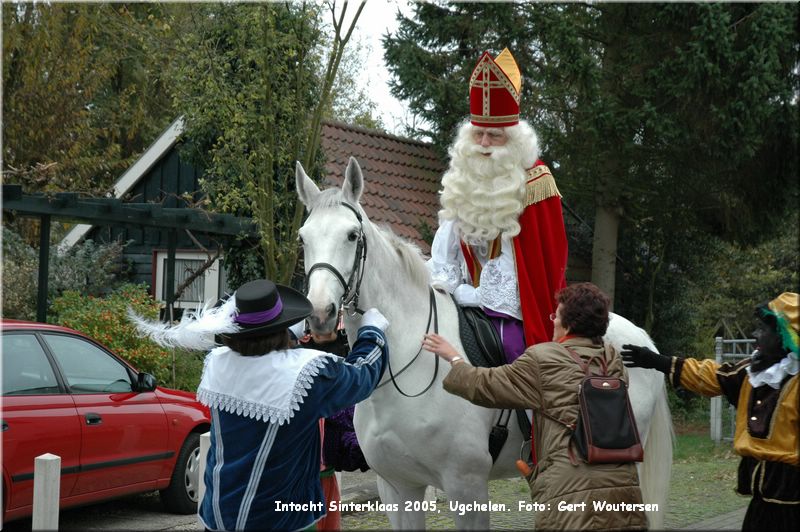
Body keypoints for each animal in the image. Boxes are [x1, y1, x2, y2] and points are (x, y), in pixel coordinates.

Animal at [294, 157, 668, 528]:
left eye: (352, 235)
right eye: (303, 238)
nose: (321, 313)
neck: (403, 368)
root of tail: (641, 338)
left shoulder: (466, 487)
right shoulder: (397, 488)